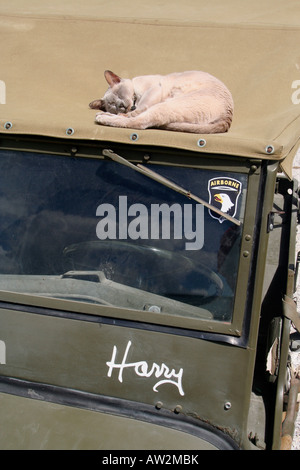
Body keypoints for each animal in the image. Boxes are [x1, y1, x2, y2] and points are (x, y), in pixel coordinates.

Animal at [89, 70, 234, 133]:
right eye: (112, 105)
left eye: (119, 94)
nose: (121, 106)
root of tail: (229, 115)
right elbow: (131, 113)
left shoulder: (154, 89)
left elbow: (137, 111)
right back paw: (104, 115)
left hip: (165, 105)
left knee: (137, 122)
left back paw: (102, 117)